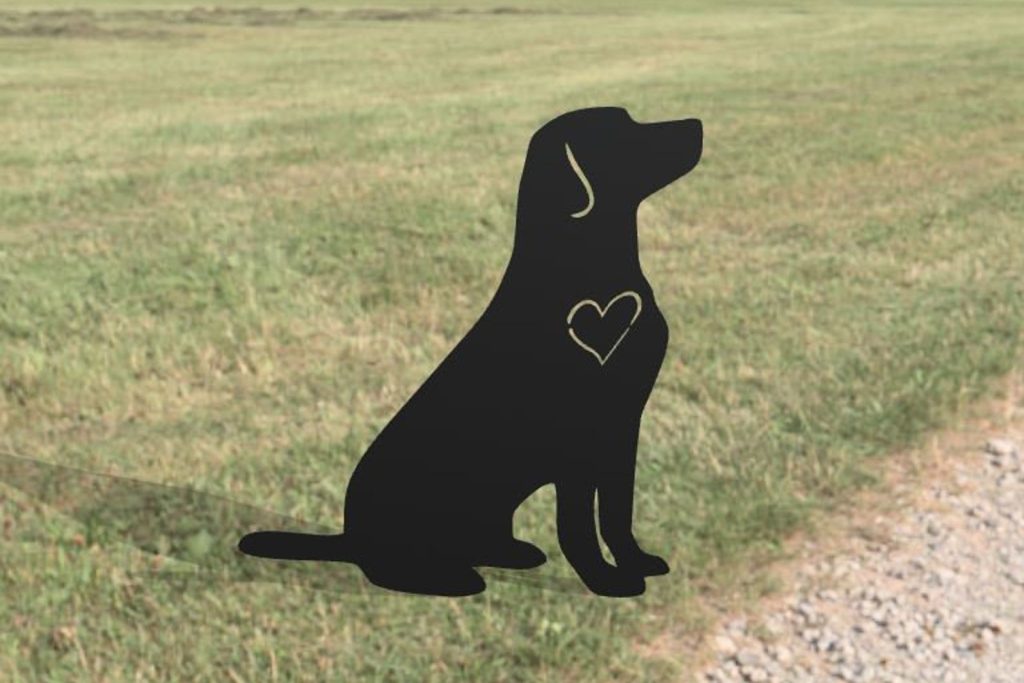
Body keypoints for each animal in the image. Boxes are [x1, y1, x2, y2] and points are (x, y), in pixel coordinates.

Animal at [239, 107, 703, 597]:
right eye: (620, 131)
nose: (696, 124)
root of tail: (348, 536)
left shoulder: (622, 427)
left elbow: (617, 514)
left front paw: (637, 562)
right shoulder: (576, 440)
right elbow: (578, 526)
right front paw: (607, 581)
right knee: (394, 568)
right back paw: (453, 578)